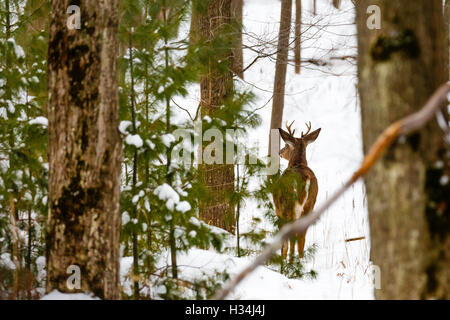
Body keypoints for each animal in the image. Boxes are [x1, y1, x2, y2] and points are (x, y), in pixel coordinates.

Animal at [272, 121, 322, 264]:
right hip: (310, 205)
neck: (297, 163)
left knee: (292, 237)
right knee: (302, 237)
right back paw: (299, 262)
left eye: (286, 145)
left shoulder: (279, 211)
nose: (280, 152)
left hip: (289, 206)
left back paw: (289, 263)